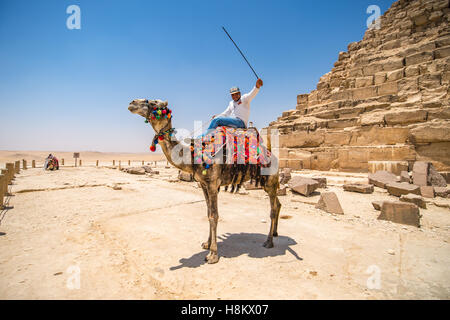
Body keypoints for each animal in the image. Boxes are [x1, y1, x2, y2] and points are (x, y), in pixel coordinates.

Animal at [127, 99, 282, 264]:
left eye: (153, 102)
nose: (131, 103)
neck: (194, 155)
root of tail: (272, 155)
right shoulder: (203, 184)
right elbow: (208, 213)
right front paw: (207, 243)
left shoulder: (213, 184)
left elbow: (214, 215)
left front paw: (213, 254)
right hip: (268, 183)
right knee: (278, 204)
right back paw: (275, 233)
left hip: (270, 180)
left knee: (272, 208)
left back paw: (268, 241)